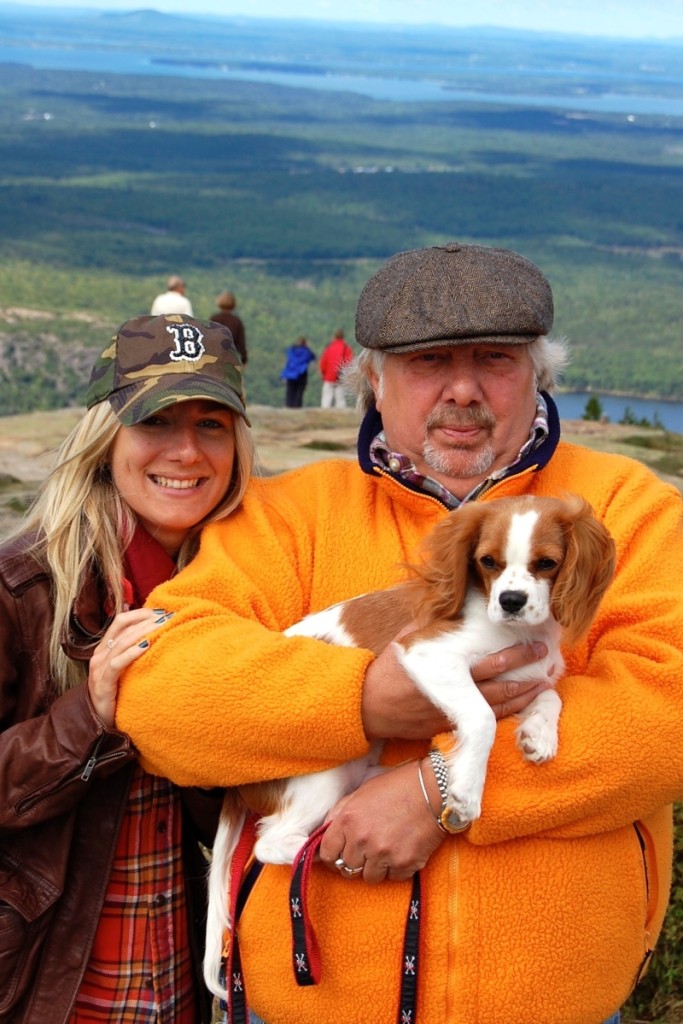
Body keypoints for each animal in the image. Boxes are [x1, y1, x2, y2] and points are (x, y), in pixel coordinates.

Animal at [202, 491, 614, 995]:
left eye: (547, 563)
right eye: (489, 562)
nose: (511, 601)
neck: (518, 632)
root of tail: (239, 787)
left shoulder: (525, 673)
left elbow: (550, 692)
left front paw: (538, 732)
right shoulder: (428, 652)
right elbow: (481, 716)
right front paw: (467, 791)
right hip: (320, 780)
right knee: (271, 842)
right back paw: (317, 848)